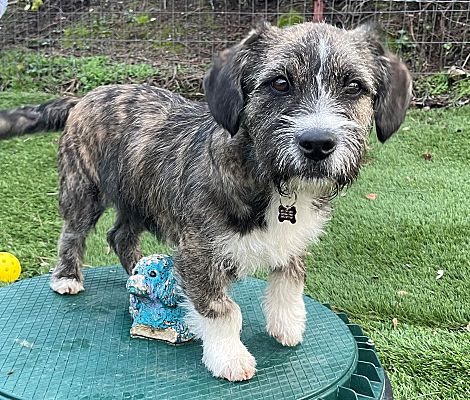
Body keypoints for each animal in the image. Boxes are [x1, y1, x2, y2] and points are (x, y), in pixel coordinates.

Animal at [0, 21, 412, 382]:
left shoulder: (291, 241)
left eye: (354, 86)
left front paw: (287, 323)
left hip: (139, 197)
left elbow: (289, 279)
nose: (317, 144)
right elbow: (223, 310)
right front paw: (229, 357)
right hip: (83, 189)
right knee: (73, 233)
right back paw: (68, 277)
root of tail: (85, 96)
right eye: (280, 83)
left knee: (120, 236)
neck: (267, 176)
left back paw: (138, 273)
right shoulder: (199, 253)